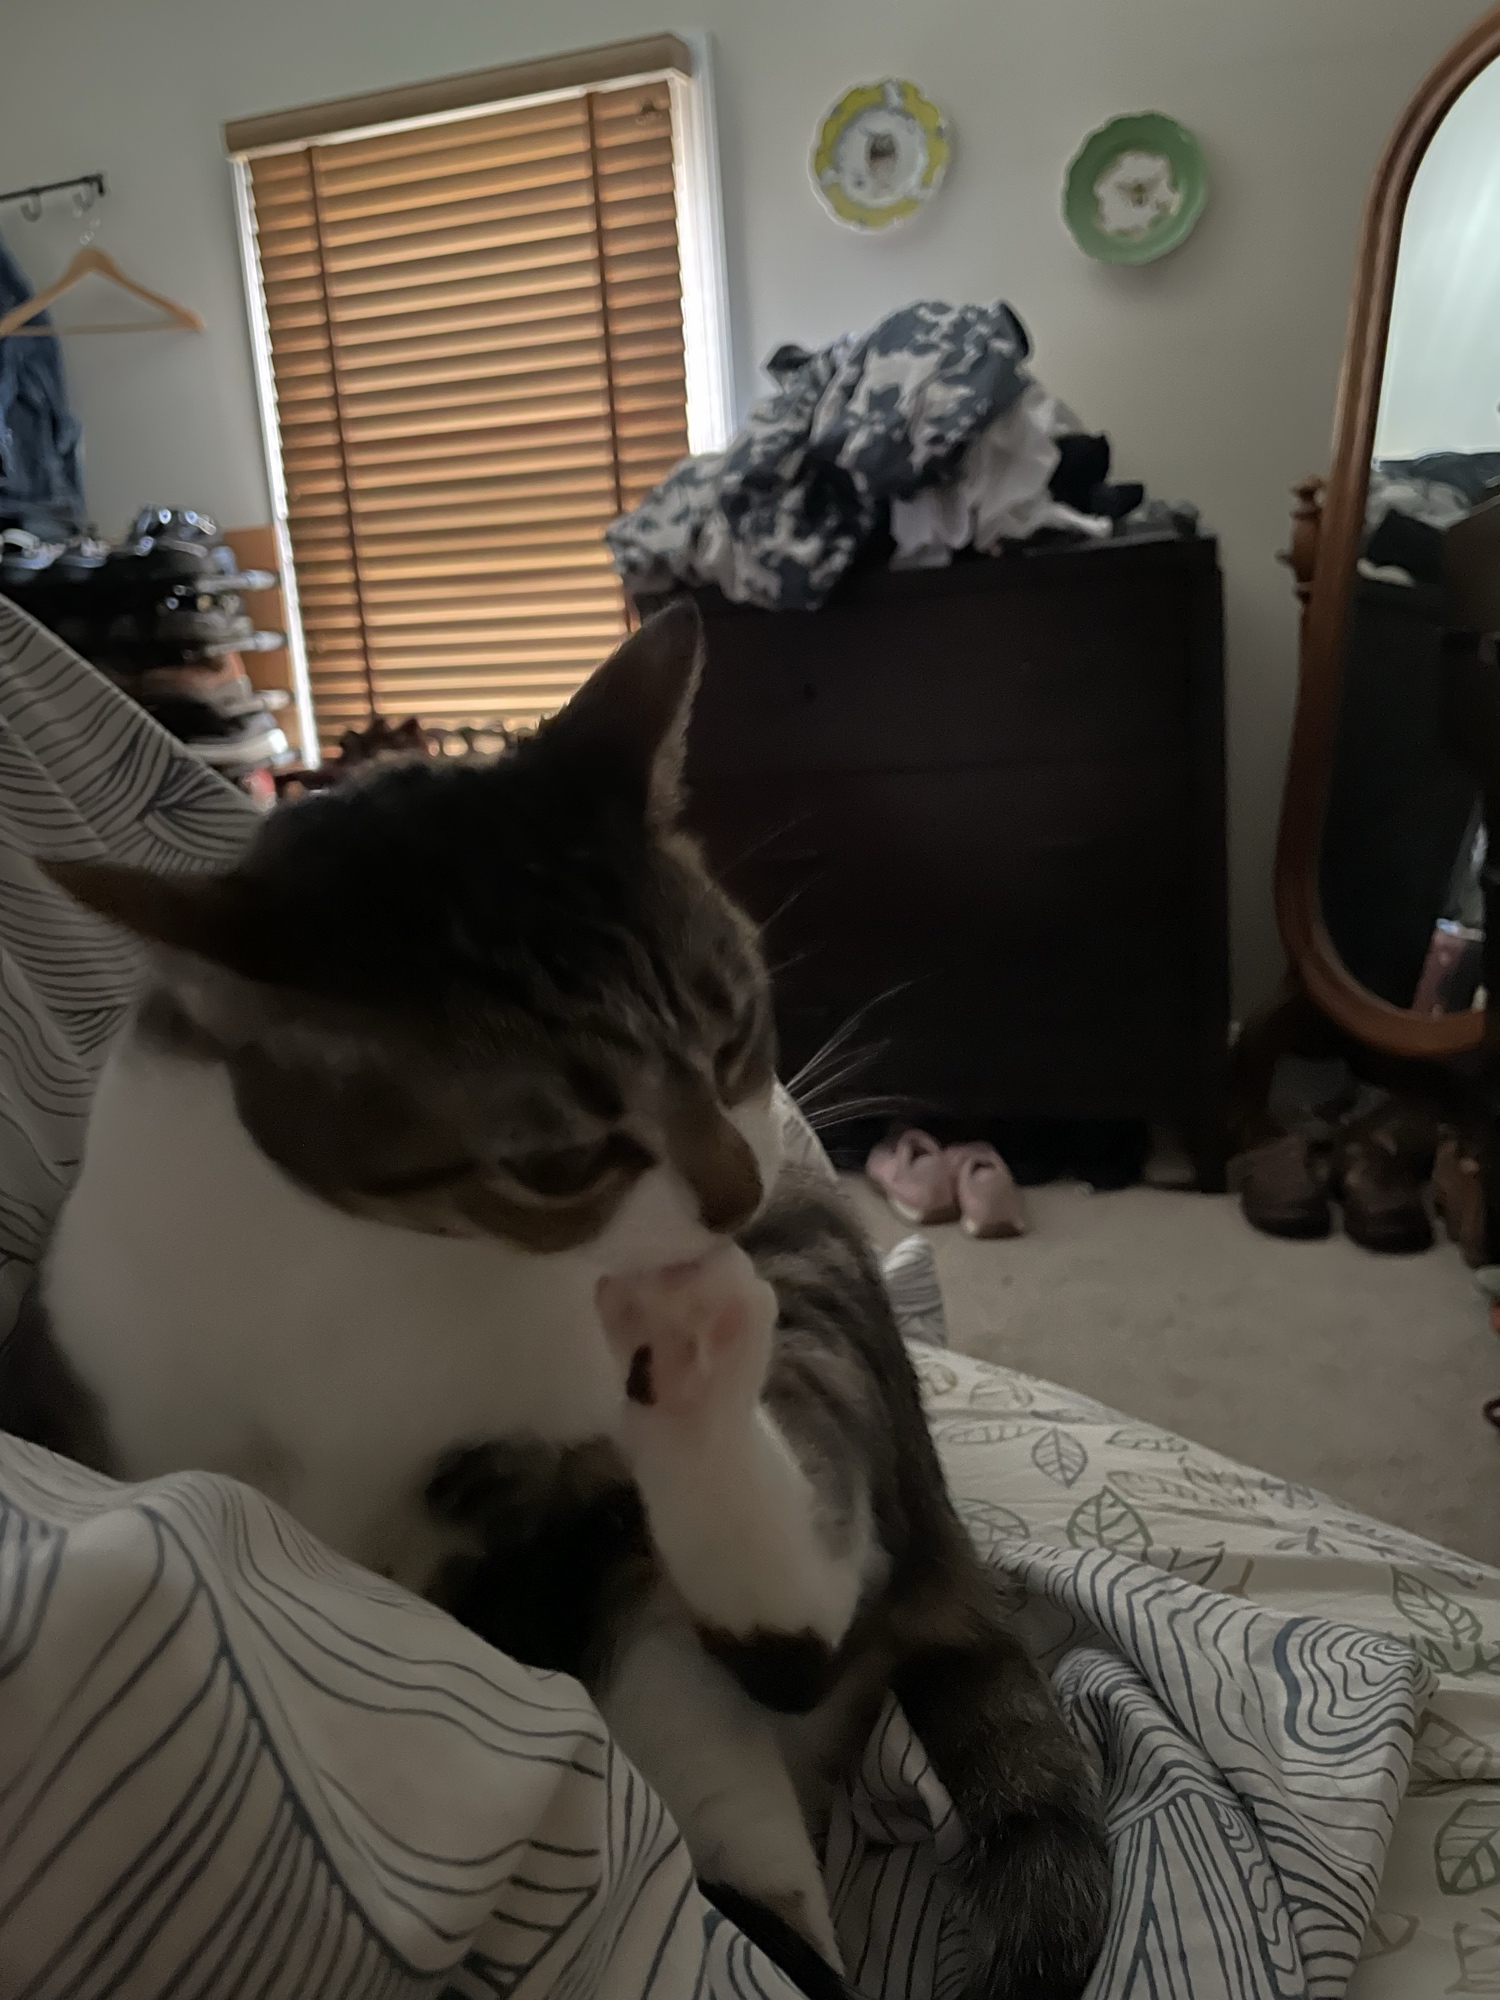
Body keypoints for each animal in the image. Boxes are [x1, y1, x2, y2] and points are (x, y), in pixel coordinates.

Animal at [8, 601, 1110, 1998]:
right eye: (557, 1160)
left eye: (737, 1032)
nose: (738, 1190)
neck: (385, 1262)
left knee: (801, 1624)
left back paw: (705, 1363)